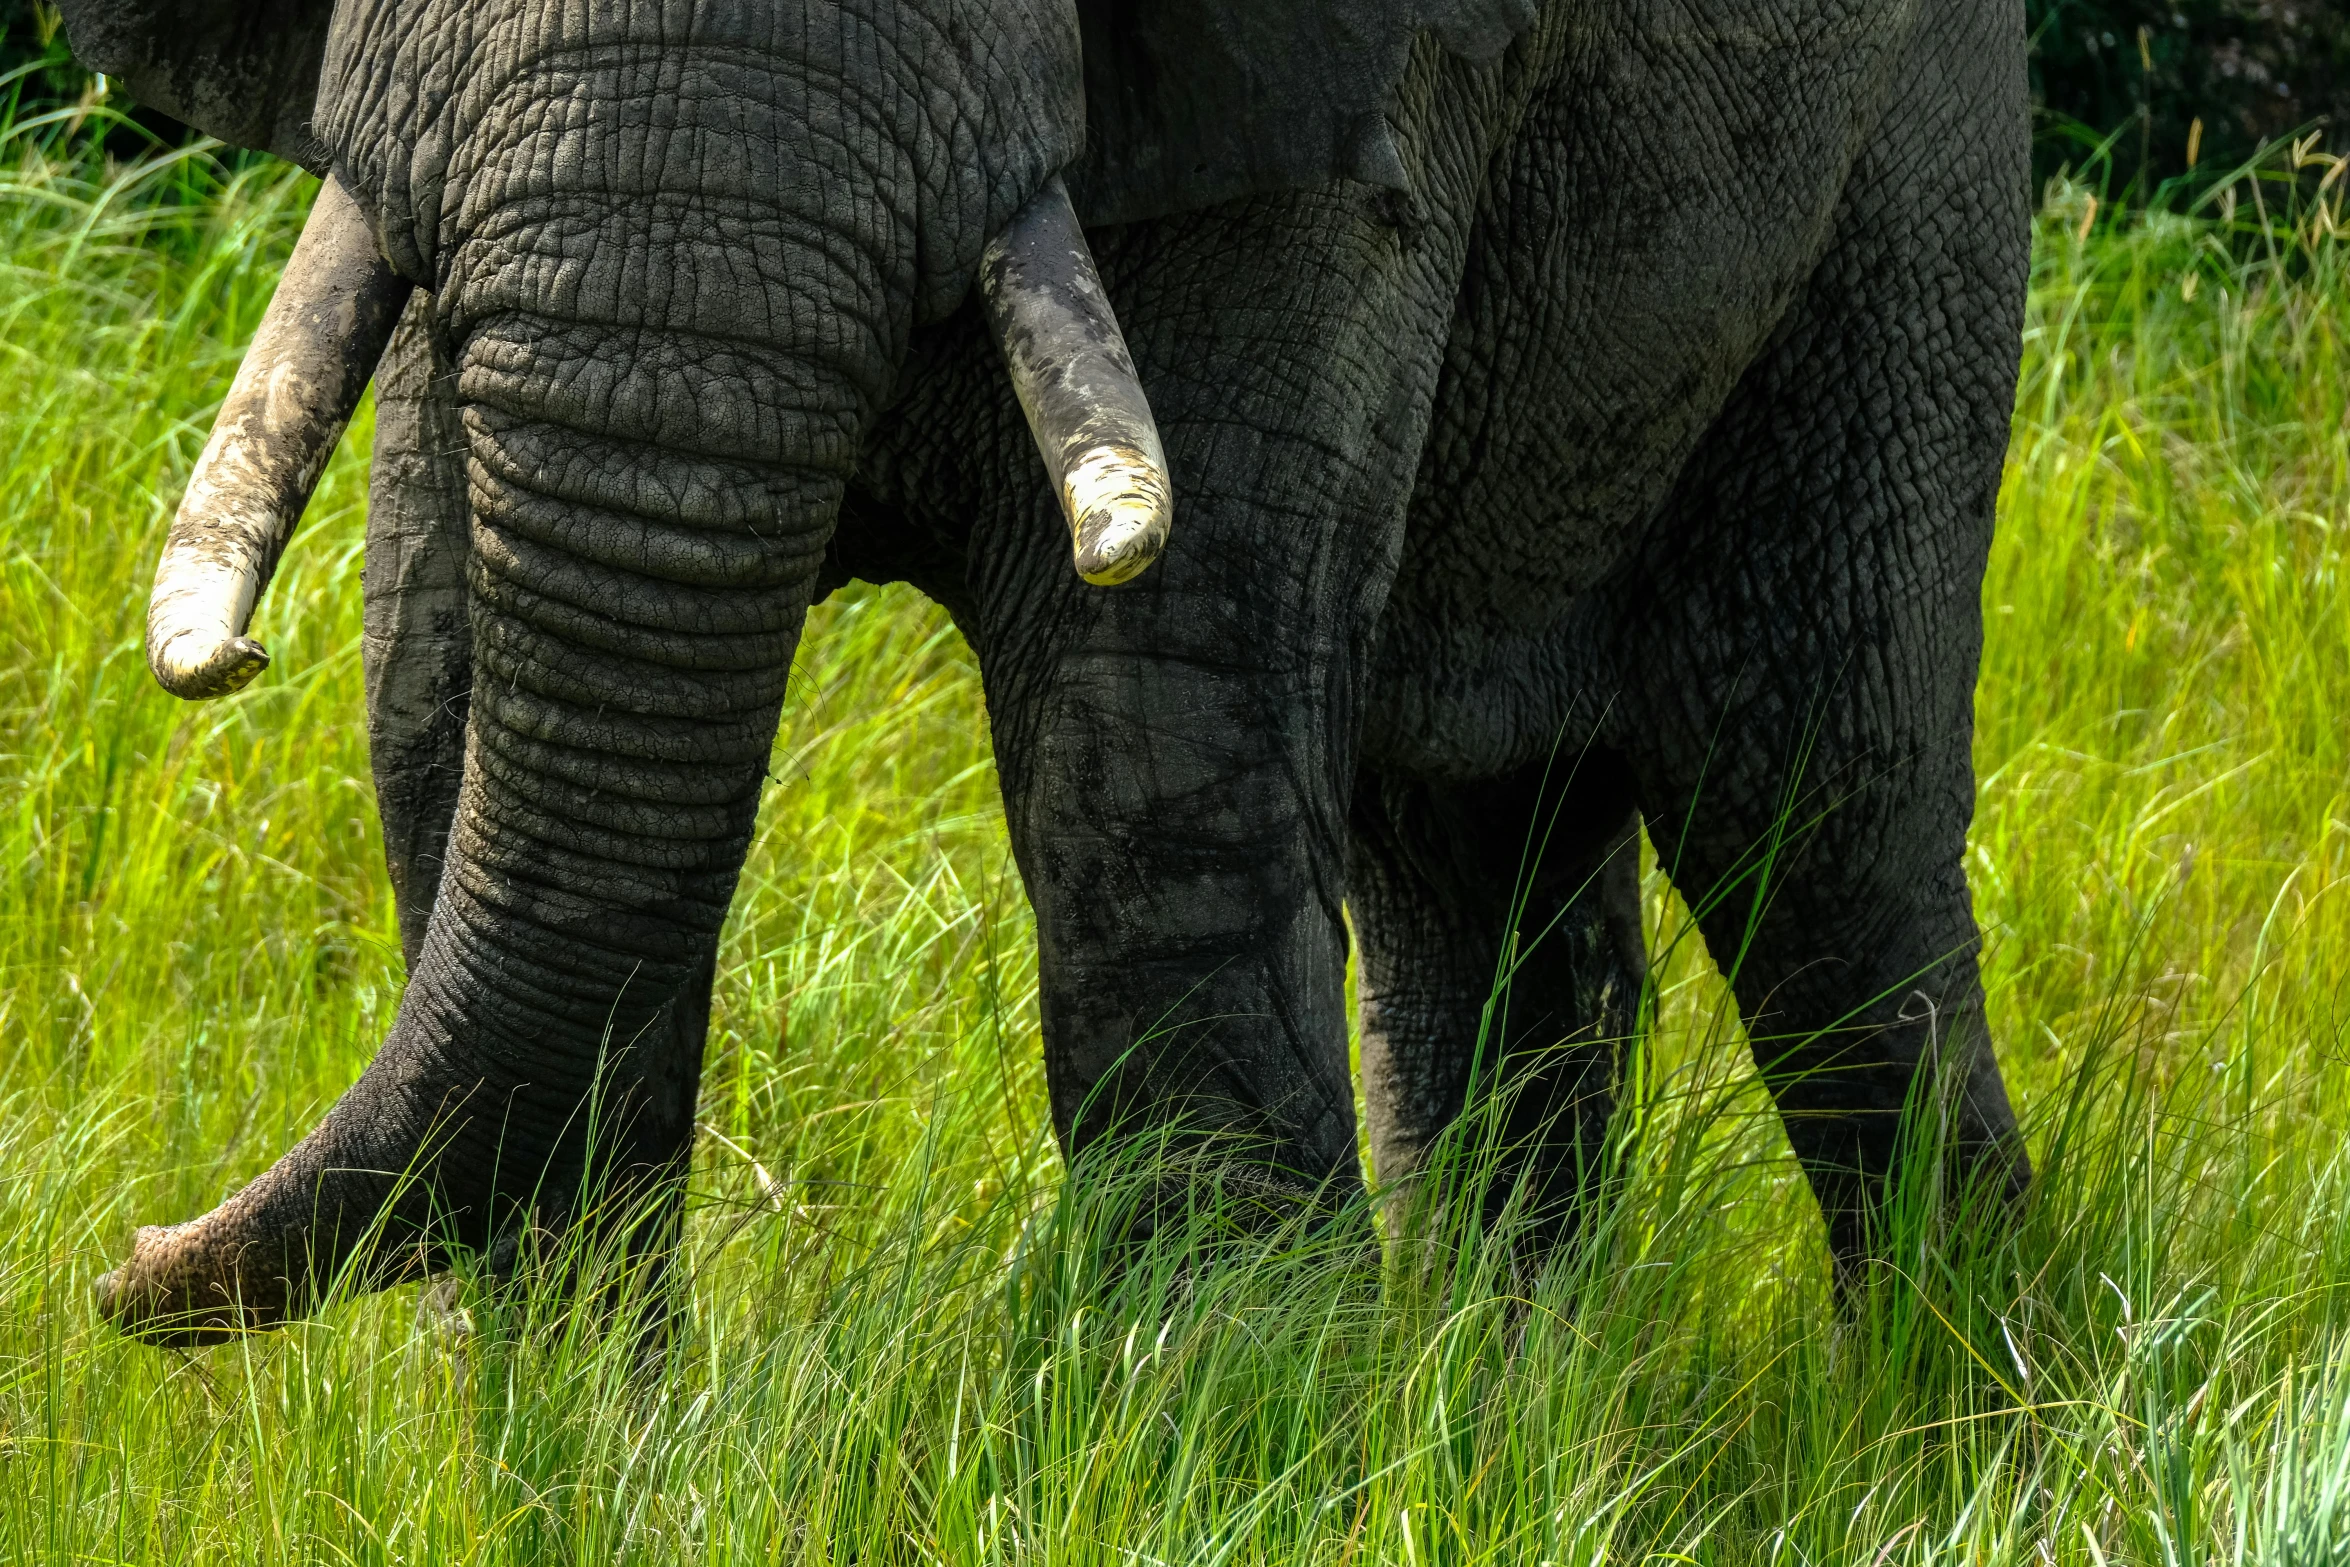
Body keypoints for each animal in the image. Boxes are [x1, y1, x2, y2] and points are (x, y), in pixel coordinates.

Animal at [64, 0, 2030, 1353]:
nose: (121, 1267)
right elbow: (446, 697)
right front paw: (579, 1449)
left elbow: (1154, 747)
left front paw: (1249, 1420)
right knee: (1468, 849)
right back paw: (1511, 1394)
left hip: (1910, 174)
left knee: (1821, 831)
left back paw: (1940, 1415)